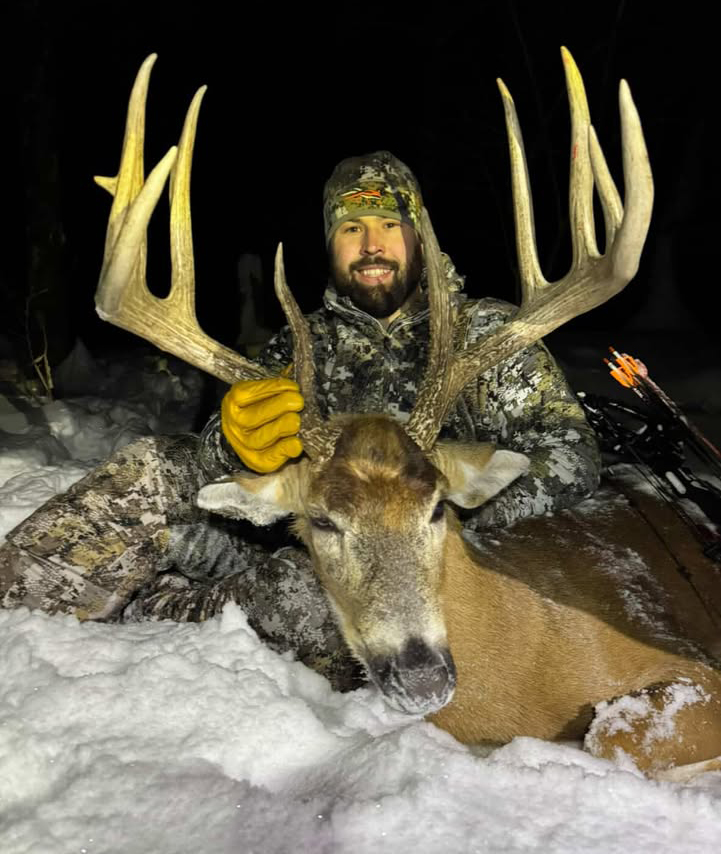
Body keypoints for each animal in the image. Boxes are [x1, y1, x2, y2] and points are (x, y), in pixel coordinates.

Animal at [94, 51, 721, 781]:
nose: (422, 676)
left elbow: (609, 734)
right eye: (320, 521)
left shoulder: (691, 671)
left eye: (437, 508)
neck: (529, 660)